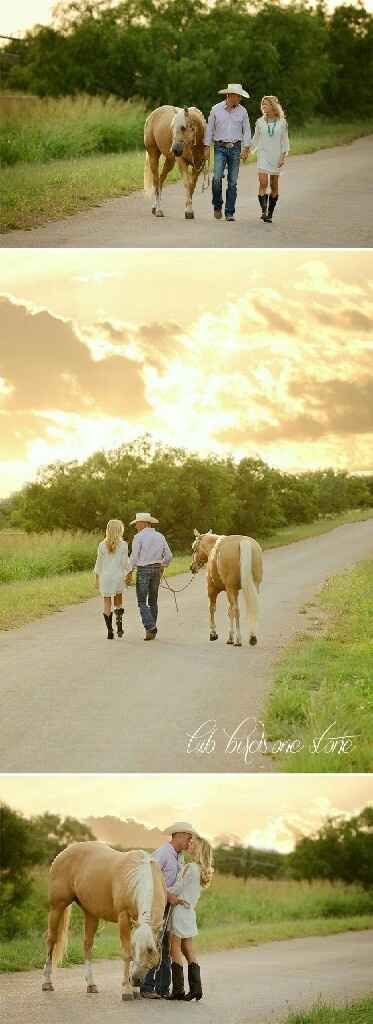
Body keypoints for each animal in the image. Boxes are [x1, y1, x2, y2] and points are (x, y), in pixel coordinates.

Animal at [41, 839, 164, 999]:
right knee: (52, 940)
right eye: (134, 946)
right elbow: (127, 954)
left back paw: (91, 985)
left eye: (150, 949)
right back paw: (47, 982)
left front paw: (135, 991)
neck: (139, 876)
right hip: (57, 907)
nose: (135, 979)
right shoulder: (124, 918)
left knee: (87, 944)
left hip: (90, 913)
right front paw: (127, 991)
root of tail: (63, 853)